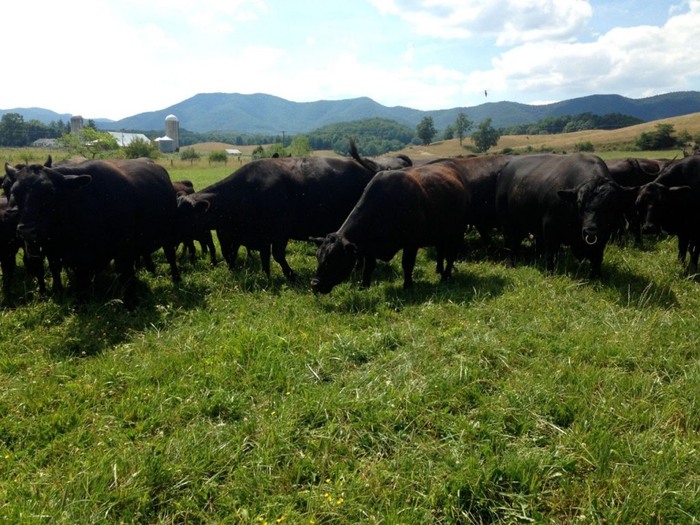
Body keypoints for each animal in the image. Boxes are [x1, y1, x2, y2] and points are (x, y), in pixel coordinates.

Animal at [3, 158, 181, 306]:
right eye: (15, 192)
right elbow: (80, 281)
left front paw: (131, 304)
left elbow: (126, 277)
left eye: (50, 192)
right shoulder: (71, 256)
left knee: (171, 257)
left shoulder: (123, 252)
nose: (26, 230)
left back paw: (176, 278)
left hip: (169, 236)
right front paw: (82, 303)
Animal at [176, 140, 412, 281]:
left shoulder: (280, 231)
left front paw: (290, 274)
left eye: (186, 214)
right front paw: (268, 276)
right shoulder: (258, 235)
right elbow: (261, 257)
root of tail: (371, 166)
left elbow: (278, 255)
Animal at [310, 161, 471, 293]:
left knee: (451, 255)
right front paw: (363, 287)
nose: (314, 284)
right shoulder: (369, 247)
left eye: (332, 259)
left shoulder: (411, 243)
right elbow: (368, 268)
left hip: (458, 231)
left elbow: (407, 264)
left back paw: (445, 277)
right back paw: (440, 271)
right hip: (442, 233)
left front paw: (407, 286)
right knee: (441, 251)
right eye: (318, 257)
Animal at [496, 154, 636, 278]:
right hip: (508, 224)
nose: (590, 230)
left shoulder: (604, 234)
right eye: (579, 202)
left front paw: (596, 276)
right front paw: (549, 274)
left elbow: (597, 257)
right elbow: (551, 254)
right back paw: (509, 264)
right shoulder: (550, 227)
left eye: (610, 204)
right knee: (510, 244)